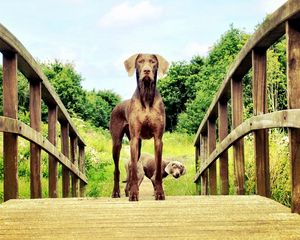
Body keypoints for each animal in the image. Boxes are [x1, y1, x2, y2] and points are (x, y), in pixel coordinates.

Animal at [109, 53, 169, 201]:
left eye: (153, 62)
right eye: (140, 61)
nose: (146, 71)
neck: (146, 97)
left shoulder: (158, 139)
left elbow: (157, 170)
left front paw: (160, 193)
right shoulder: (134, 139)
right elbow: (135, 173)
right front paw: (134, 194)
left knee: (131, 168)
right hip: (117, 143)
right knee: (117, 170)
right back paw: (116, 192)